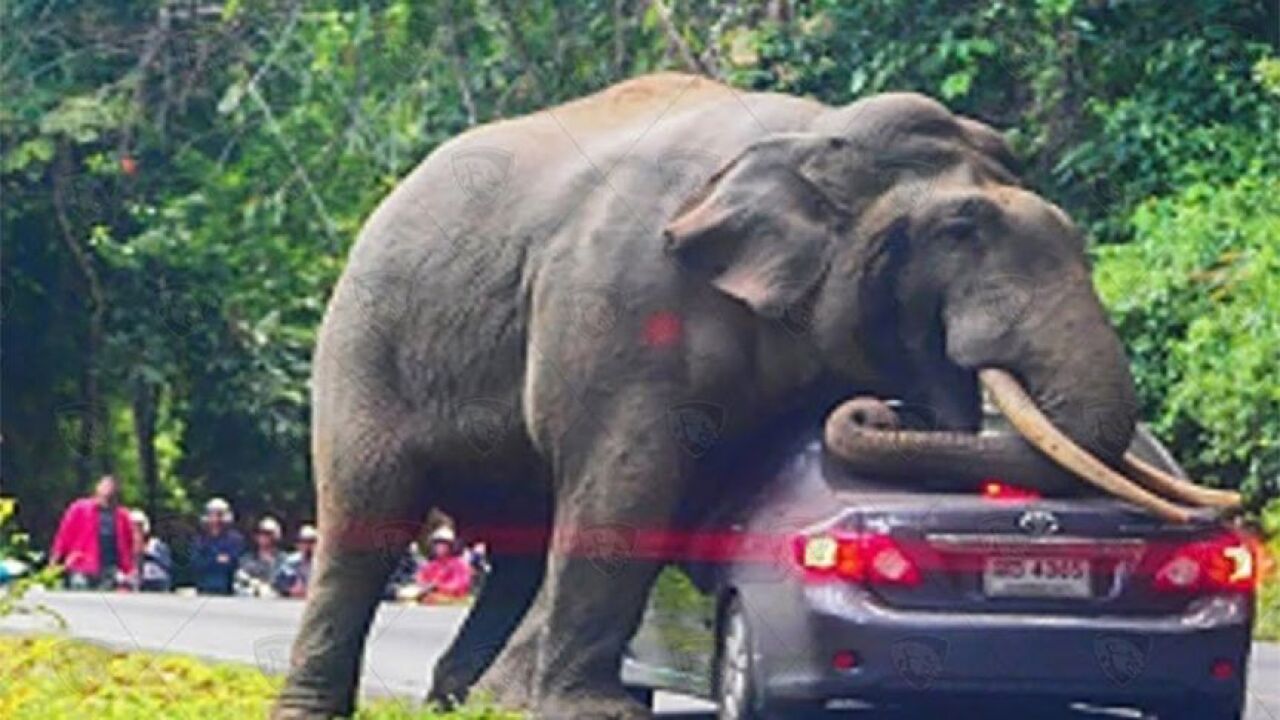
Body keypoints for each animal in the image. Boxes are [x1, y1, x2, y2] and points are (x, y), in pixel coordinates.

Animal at [273, 73, 1238, 719]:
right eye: (962, 229)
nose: (886, 405)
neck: (813, 138)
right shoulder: (623, 297)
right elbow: (631, 477)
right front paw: (590, 711)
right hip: (365, 345)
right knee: (369, 516)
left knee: (518, 541)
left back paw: (467, 699)